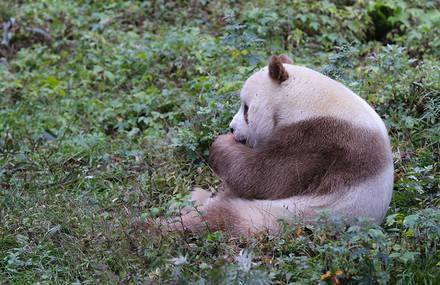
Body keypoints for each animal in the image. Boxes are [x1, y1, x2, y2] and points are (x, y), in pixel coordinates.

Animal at [163, 53, 394, 235]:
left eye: (246, 108)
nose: (232, 129)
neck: (307, 99)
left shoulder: (319, 139)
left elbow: (263, 177)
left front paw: (220, 144)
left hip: (284, 215)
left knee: (218, 220)